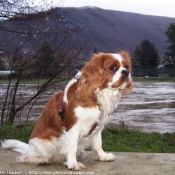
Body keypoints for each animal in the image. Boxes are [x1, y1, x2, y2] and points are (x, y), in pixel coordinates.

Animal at [1, 50, 133, 170]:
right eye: (112, 68)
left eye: (126, 67)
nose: (126, 72)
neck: (94, 94)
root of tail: (29, 147)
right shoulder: (73, 127)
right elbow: (72, 146)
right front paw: (73, 164)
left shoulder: (98, 127)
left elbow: (98, 144)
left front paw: (102, 156)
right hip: (44, 145)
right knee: (25, 157)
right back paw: (41, 160)